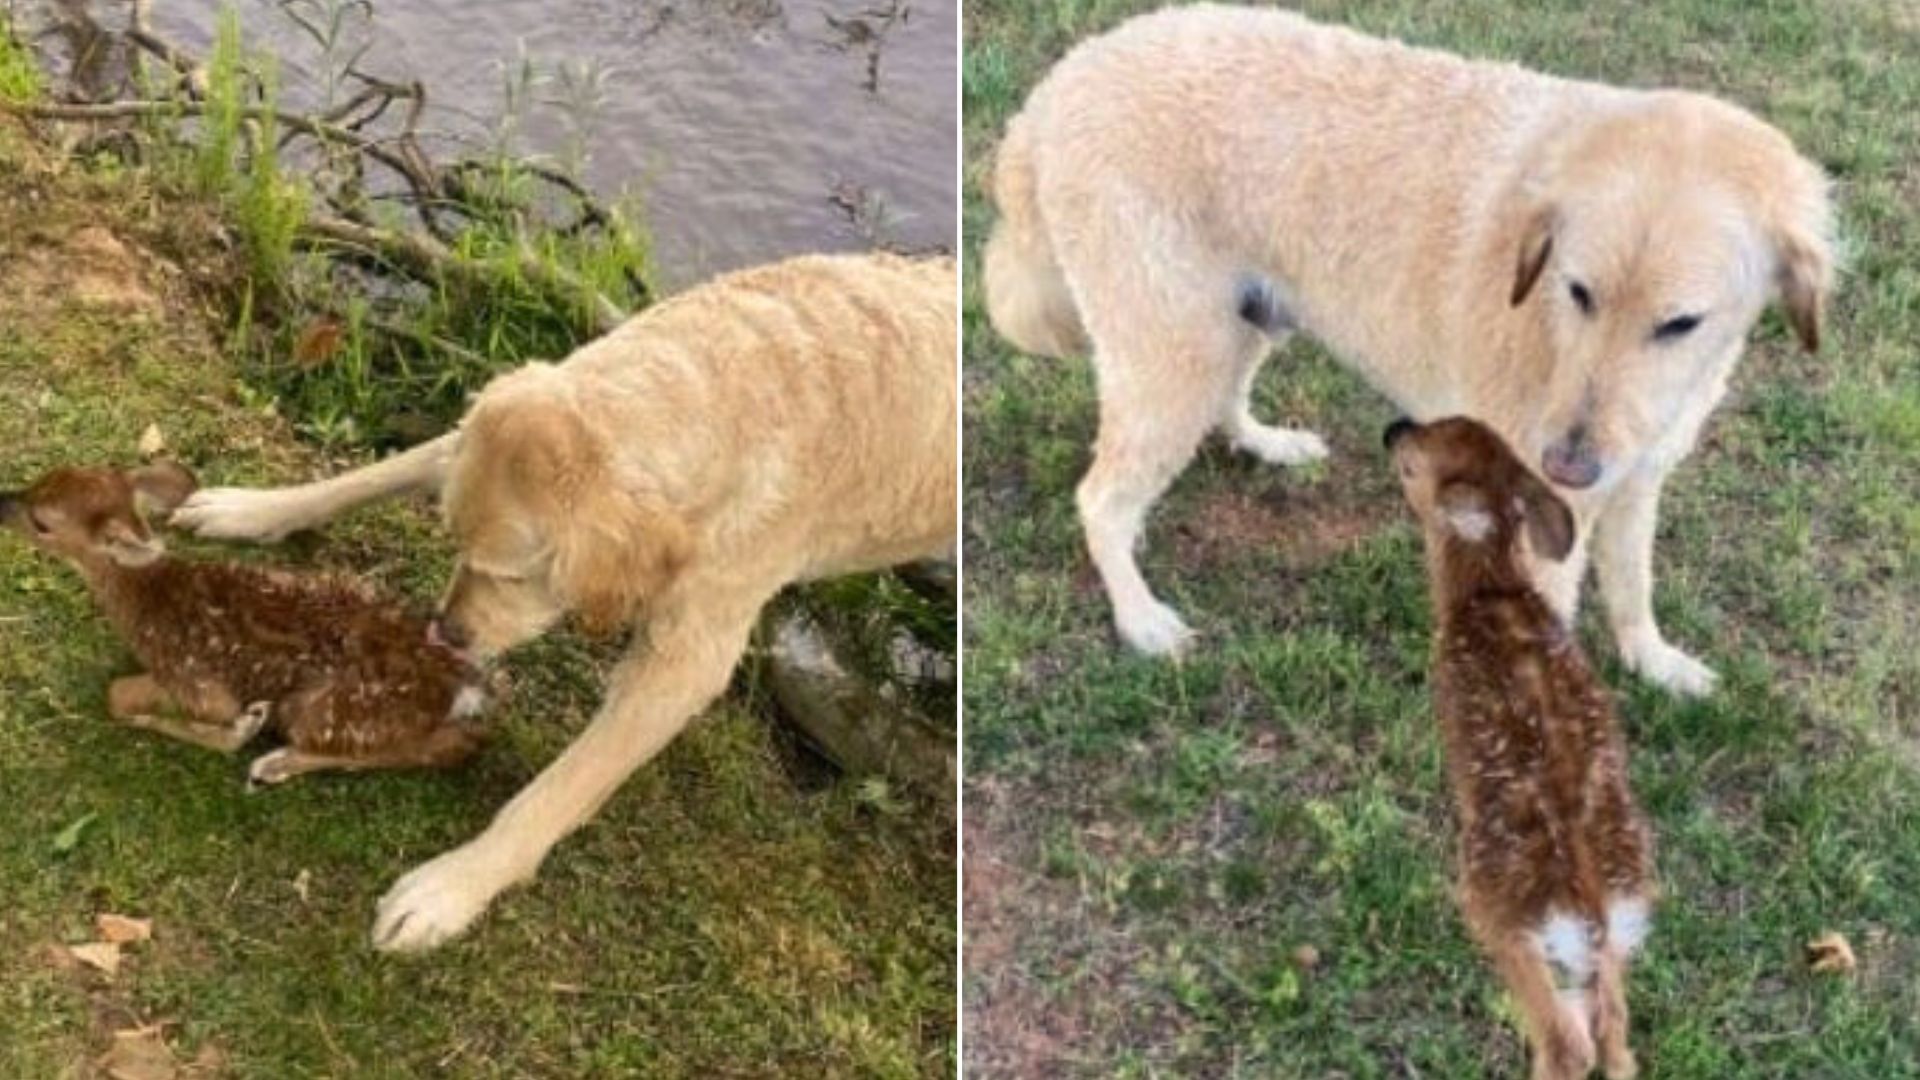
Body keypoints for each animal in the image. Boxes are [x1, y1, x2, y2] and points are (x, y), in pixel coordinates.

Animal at [176, 251, 956, 949]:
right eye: (455, 541)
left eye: (516, 576)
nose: (445, 633)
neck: (726, 384)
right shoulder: (473, 435)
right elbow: (371, 474)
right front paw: (250, 509)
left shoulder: (684, 660)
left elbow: (559, 791)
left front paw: (450, 889)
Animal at [983, 4, 1835, 691]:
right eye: (1578, 292)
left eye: (1680, 323)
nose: (1566, 465)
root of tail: (1059, 83)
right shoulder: (1543, 522)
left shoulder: (1635, 481)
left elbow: (1633, 588)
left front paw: (1652, 661)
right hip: (1176, 349)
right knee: (1099, 499)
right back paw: (1138, 616)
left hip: (1242, 319)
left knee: (1220, 405)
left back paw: (1264, 442)